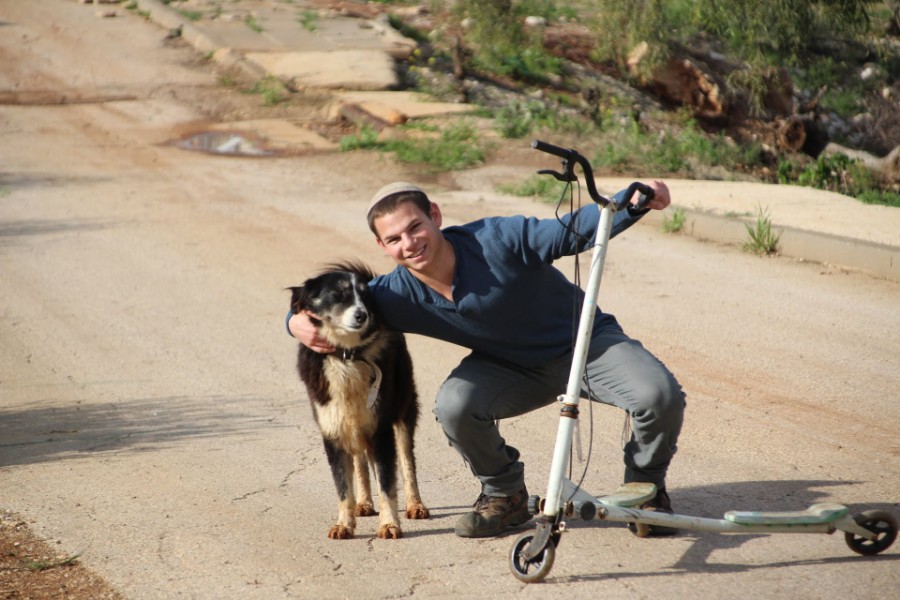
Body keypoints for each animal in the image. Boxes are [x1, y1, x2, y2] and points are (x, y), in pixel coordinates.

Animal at [288, 258, 428, 540]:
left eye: (365, 297)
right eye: (337, 295)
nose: (361, 315)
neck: (347, 355)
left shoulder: (380, 428)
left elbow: (387, 483)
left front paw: (389, 525)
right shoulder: (333, 430)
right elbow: (343, 486)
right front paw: (344, 524)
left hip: (403, 408)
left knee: (407, 461)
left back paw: (415, 505)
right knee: (361, 461)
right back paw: (363, 503)